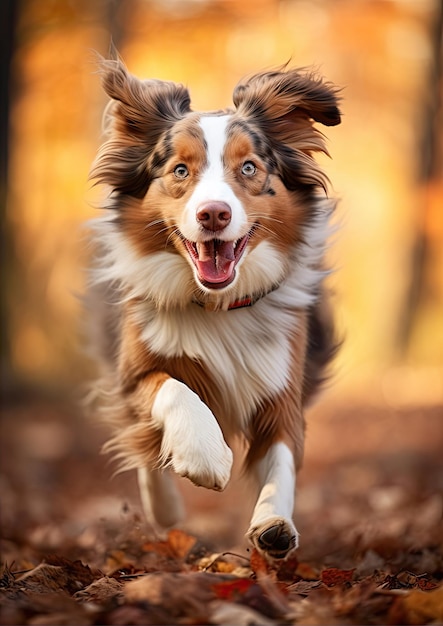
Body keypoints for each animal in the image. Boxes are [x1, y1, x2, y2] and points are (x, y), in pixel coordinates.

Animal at [88, 57, 342, 556]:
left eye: (248, 167)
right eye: (180, 171)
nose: (213, 214)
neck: (218, 305)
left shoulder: (282, 387)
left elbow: (282, 456)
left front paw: (273, 522)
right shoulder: (134, 371)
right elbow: (171, 390)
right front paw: (203, 456)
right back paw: (166, 509)